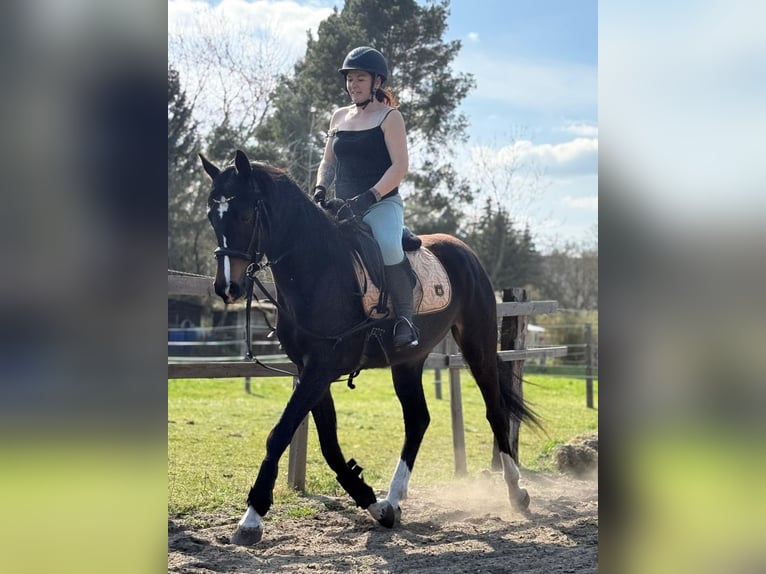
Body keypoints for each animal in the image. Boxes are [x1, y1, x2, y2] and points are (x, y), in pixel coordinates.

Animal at [199, 150, 539, 546]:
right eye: (212, 216)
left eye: (244, 214)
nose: (228, 288)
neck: (317, 269)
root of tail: (463, 250)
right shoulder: (310, 370)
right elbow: (329, 445)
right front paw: (374, 505)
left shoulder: (321, 368)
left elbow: (280, 433)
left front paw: (251, 519)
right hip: (408, 361)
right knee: (418, 419)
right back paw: (394, 498)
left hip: (478, 345)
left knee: (495, 411)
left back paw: (516, 492)